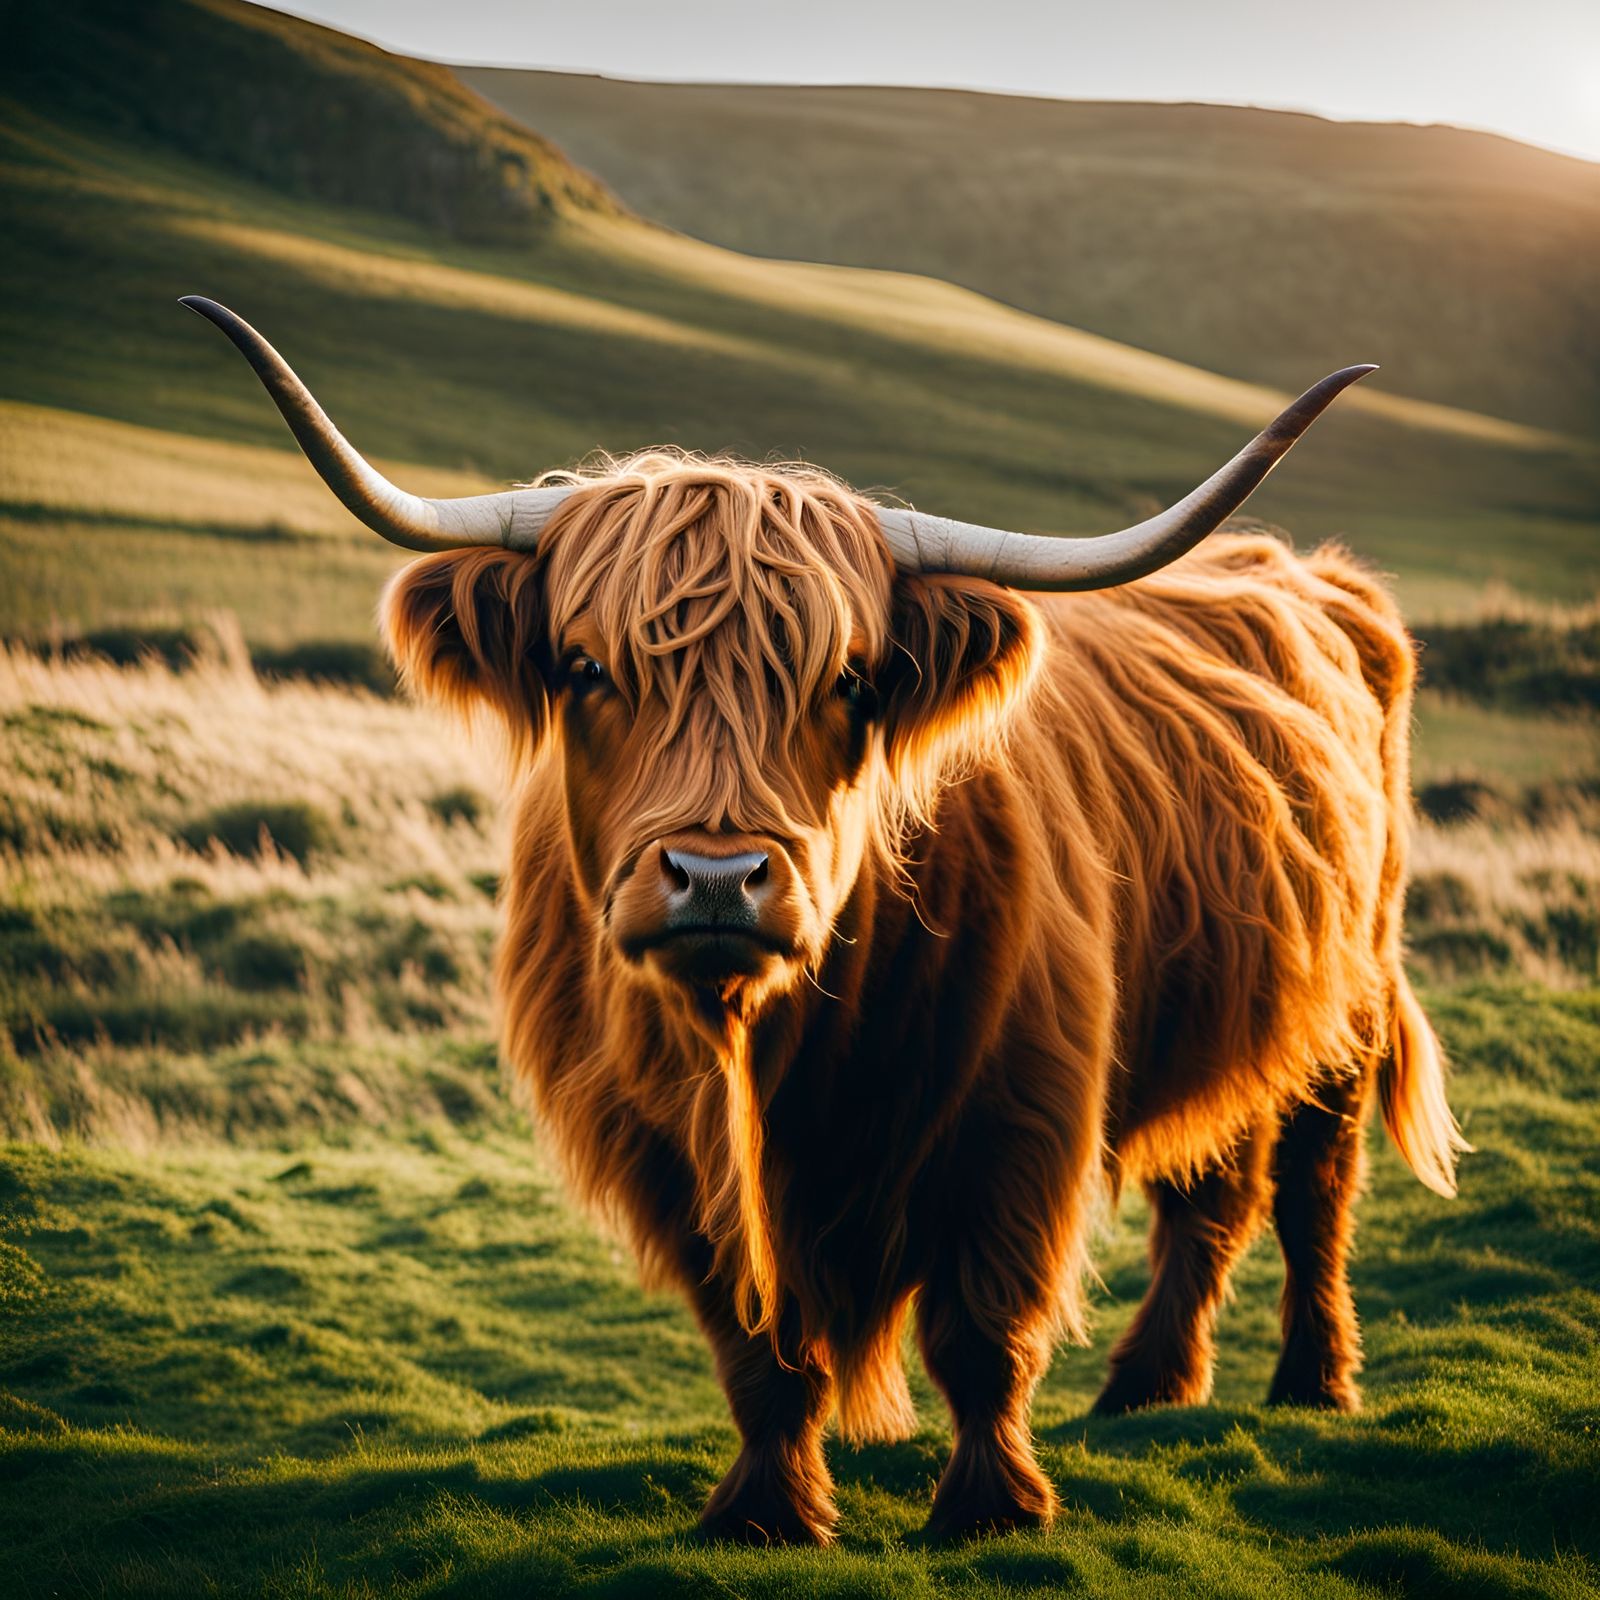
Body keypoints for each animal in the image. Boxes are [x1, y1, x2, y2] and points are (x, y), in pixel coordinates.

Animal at [183, 296, 1465, 1546]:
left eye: (847, 678)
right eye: (587, 668)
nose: (716, 876)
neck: (779, 1056)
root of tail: (1311, 576)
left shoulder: (1019, 1118)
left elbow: (979, 1328)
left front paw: (988, 1509)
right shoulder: (667, 1151)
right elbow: (758, 1349)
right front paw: (767, 1511)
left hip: (1349, 999)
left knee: (1310, 1188)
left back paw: (1312, 1381)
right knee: (1213, 1189)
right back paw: (1147, 1388)